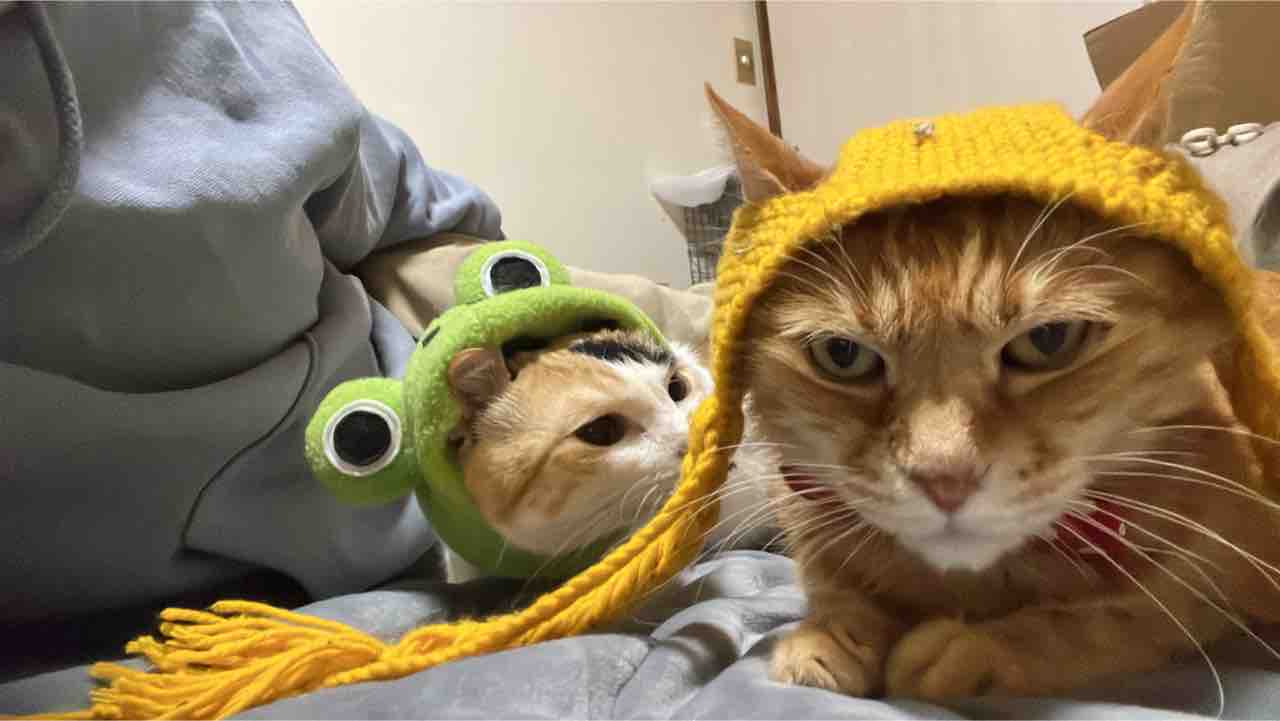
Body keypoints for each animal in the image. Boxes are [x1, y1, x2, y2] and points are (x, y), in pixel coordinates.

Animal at [703, 3, 1280, 703]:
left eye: (1048, 341)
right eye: (842, 355)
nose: (944, 479)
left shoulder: (1225, 563)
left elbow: (1121, 615)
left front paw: (971, 647)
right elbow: (829, 579)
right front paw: (830, 632)